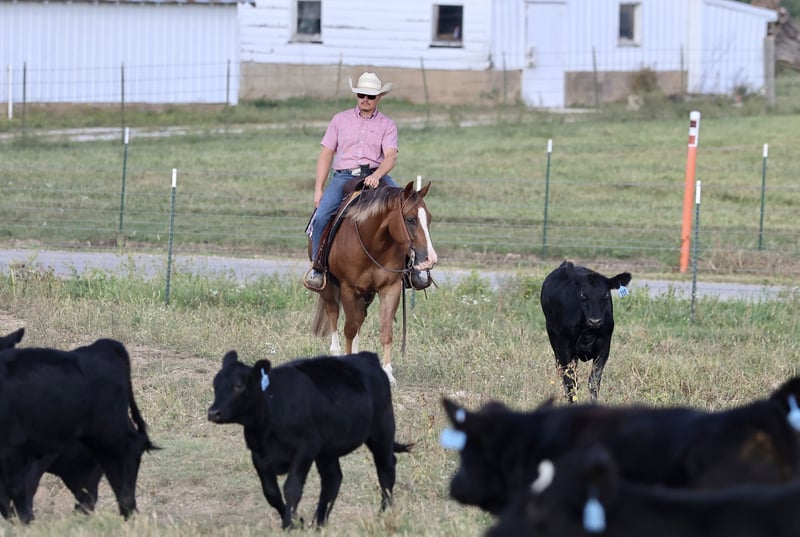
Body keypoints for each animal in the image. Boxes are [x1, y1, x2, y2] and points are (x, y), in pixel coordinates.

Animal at [207, 350, 413, 529]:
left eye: (238, 386)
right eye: (215, 385)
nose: (213, 412)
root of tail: (366, 357)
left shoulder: (305, 449)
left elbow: (291, 489)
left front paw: (289, 524)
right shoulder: (258, 455)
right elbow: (271, 493)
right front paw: (297, 521)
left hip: (381, 431)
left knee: (386, 468)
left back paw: (383, 514)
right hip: (328, 450)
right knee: (332, 479)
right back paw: (319, 523)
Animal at [311, 181, 437, 385]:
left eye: (429, 218)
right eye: (410, 219)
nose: (430, 259)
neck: (373, 243)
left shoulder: (390, 289)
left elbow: (385, 331)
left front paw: (388, 373)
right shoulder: (348, 289)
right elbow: (349, 329)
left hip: (366, 295)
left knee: (359, 318)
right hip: (329, 288)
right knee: (334, 314)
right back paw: (336, 352)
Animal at [540, 260, 632, 403]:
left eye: (605, 295)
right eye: (583, 295)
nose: (595, 321)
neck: (588, 331)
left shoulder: (604, 348)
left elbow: (594, 382)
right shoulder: (564, 348)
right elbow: (570, 383)